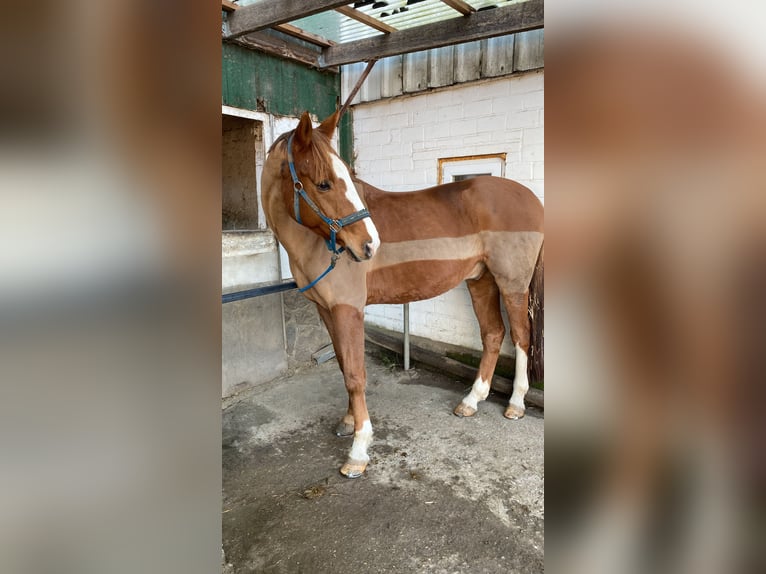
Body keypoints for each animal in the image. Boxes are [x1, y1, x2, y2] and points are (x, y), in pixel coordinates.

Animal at [264, 110, 544, 480]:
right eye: (324, 183)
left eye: (348, 178)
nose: (370, 245)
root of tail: (533, 199)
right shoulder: (326, 310)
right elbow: (342, 364)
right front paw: (348, 421)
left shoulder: (347, 309)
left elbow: (355, 374)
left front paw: (358, 450)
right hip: (480, 279)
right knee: (493, 333)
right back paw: (471, 401)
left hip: (512, 283)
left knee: (521, 336)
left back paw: (515, 403)